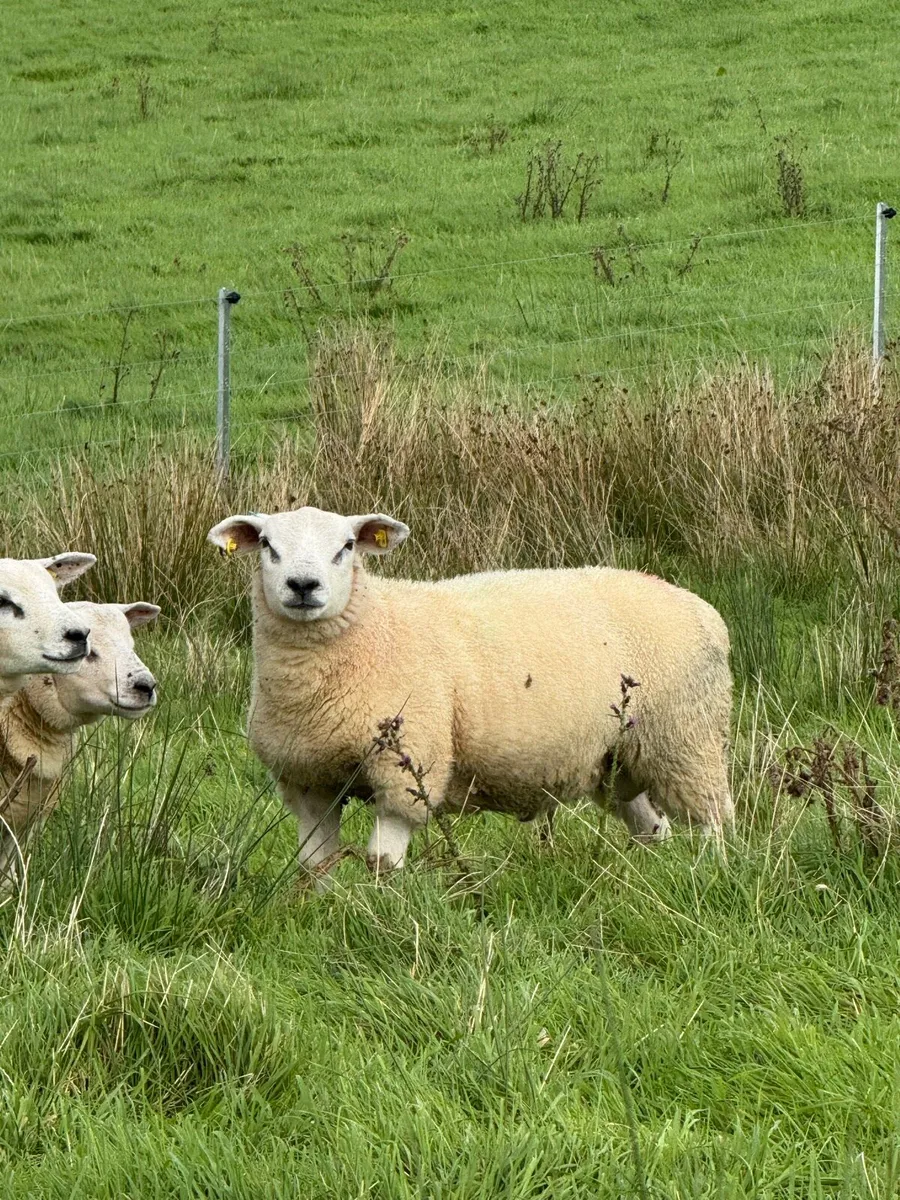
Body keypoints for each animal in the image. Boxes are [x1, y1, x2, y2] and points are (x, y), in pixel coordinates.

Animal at [208, 506, 733, 877]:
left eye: (347, 546)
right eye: (268, 545)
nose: (303, 585)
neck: (374, 629)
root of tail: (699, 606)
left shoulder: (408, 768)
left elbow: (383, 863)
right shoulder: (308, 780)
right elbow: (315, 864)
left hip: (687, 739)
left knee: (713, 818)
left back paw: (712, 872)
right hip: (619, 756)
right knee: (653, 827)